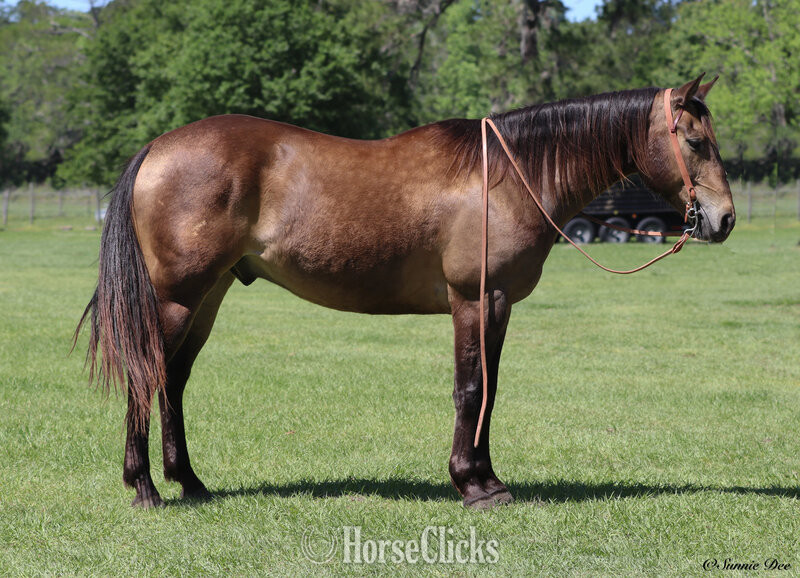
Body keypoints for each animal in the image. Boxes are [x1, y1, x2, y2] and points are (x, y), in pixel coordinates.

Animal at [76, 74, 735, 509]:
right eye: (694, 141)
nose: (724, 219)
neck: (506, 174)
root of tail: (159, 147)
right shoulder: (476, 300)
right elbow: (471, 389)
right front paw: (472, 484)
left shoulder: (497, 306)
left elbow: (489, 391)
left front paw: (488, 478)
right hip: (177, 298)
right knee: (146, 374)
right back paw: (143, 487)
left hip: (207, 296)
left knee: (172, 378)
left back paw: (189, 482)